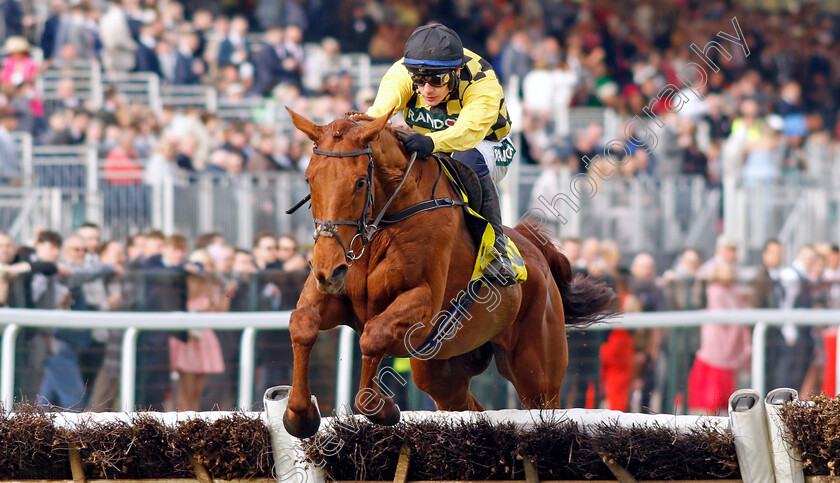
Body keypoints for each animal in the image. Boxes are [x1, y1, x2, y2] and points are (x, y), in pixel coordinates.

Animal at [282, 109, 616, 438]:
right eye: (309, 179)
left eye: (361, 182)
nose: (328, 269)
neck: (386, 222)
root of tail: (534, 247)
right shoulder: (334, 296)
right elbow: (302, 324)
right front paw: (299, 413)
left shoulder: (425, 308)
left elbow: (373, 336)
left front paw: (380, 407)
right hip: (442, 369)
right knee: (470, 408)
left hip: (537, 369)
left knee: (544, 404)